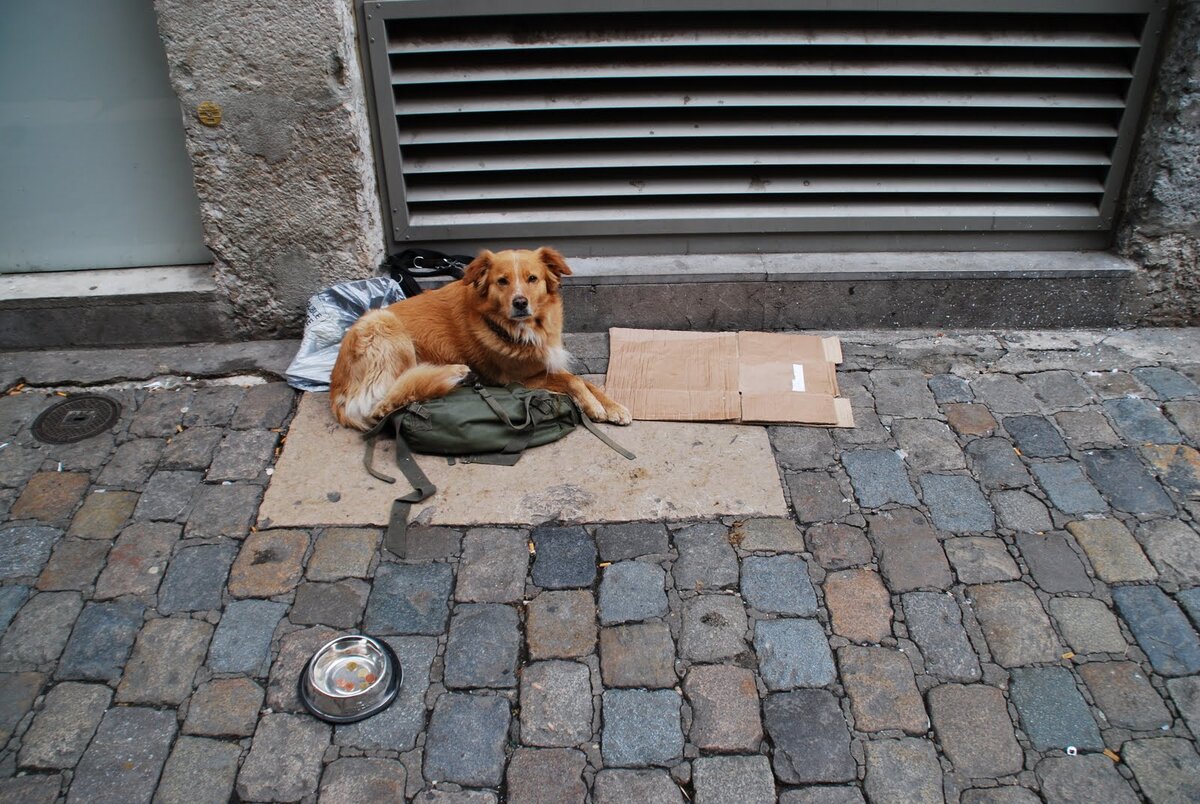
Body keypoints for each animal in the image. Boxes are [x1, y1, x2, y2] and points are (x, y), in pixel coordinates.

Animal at [324, 248, 633, 432]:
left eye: (532, 278)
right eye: (502, 281)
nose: (520, 303)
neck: (512, 327)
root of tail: (336, 389)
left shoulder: (545, 363)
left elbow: (587, 381)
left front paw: (614, 407)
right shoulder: (522, 377)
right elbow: (574, 380)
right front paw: (595, 407)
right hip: (384, 325)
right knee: (386, 401)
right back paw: (454, 372)